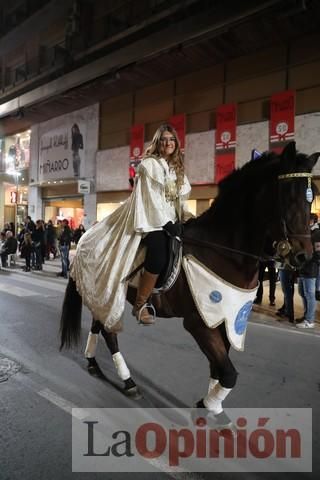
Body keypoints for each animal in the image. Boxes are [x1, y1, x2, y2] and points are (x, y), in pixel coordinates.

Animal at [59, 142, 318, 412]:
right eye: (289, 196)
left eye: (311, 198)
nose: (304, 256)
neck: (224, 251)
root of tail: (85, 236)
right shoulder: (198, 323)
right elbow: (229, 374)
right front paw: (207, 406)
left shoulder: (223, 318)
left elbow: (219, 369)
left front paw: (211, 406)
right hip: (107, 293)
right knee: (109, 333)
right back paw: (128, 382)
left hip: (106, 295)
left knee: (100, 325)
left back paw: (93, 364)